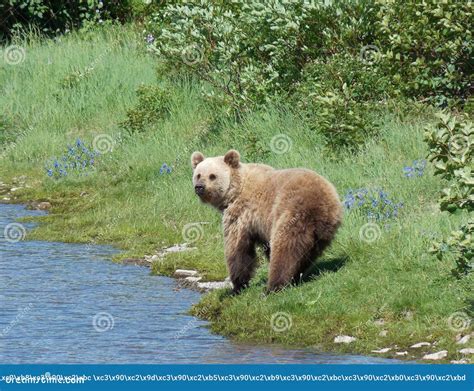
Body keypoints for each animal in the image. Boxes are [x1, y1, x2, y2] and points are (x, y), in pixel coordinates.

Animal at [191, 150, 342, 294]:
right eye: (198, 175)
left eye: (212, 176)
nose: (199, 187)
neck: (234, 191)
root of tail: (321, 203)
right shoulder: (261, 224)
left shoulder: (241, 214)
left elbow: (237, 248)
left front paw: (237, 286)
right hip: (324, 229)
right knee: (307, 253)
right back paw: (295, 276)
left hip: (291, 212)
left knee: (285, 248)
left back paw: (273, 286)